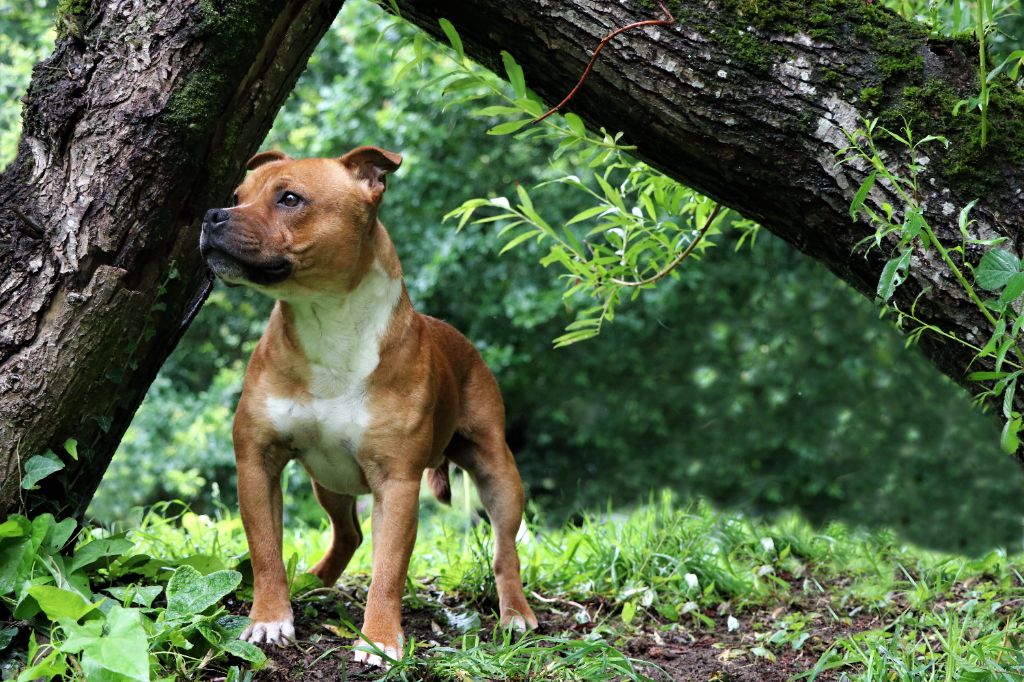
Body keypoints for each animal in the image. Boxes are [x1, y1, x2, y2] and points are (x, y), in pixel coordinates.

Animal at [195, 146, 540, 659]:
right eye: (237, 197)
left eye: (290, 198)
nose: (213, 214)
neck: (328, 322)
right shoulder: (258, 462)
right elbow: (265, 551)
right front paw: (270, 619)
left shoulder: (396, 483)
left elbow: (389, 570)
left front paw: (378, 640)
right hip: (328, 478)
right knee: (349, 533)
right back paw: (315, 581)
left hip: (497, 469)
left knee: (505, 548)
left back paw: (515, 611)